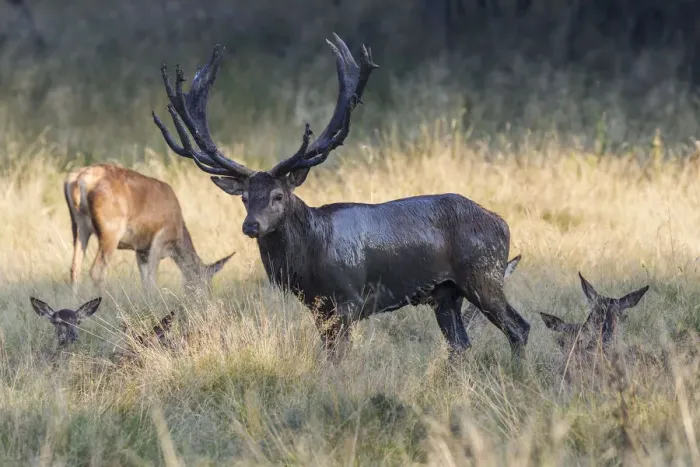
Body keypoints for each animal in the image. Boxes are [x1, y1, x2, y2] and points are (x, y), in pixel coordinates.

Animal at [64, 164, 234, 293]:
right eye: (205, 282)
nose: (205, 299)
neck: (179, 232)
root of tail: (79, 180)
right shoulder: (160, 239)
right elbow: (152, 281)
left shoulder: (141, 250)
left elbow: (145, 282)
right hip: (110, 231)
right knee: (96, 271)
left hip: (77, 226)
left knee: (74, 269)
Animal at [151, 33, 531, 361]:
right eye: (244, 197)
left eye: (278, 195)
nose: (251, 226)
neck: (308, 259)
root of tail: (503, 224)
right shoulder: (317, 307)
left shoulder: (348, 299)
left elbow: (339, 358)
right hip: (445, 293)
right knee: (460, 345)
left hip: (484, 273)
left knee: (519, 327)